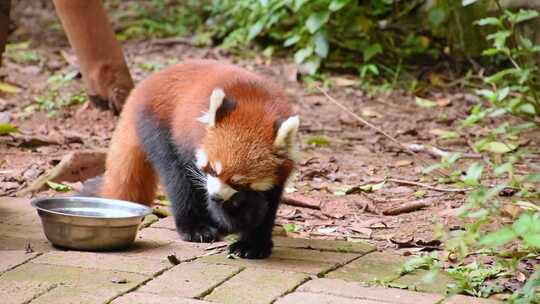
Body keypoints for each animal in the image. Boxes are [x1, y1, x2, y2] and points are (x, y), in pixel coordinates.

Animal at [89, 60, 300, 258]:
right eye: (212, 169)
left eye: (238, 183)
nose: (216, 196)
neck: (257, 104)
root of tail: (146, 84)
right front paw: (229, 215)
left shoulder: (277, 175)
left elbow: (268, 206)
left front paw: (254, 244)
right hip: (160, 125)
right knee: (177, 179)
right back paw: (195, 227)